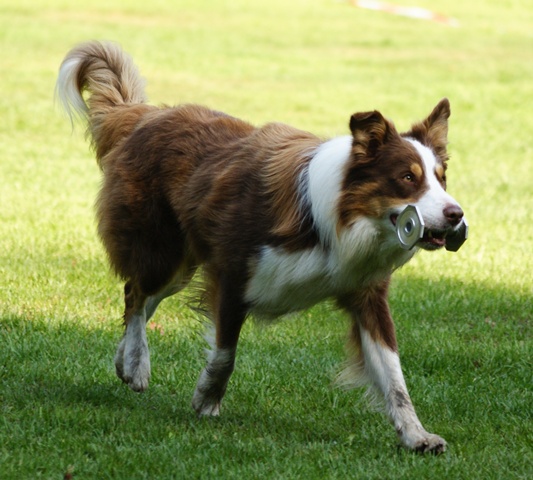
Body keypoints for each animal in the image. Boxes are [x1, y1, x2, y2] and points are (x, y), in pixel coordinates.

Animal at [55, 41, 462, 454]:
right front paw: (207, 398)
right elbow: (225, 354)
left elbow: (394, 377)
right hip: (162, 251)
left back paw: (125, 360)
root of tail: (145, 115)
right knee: (137, 294)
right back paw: (137, 364)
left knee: (138, 296)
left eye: (441, 179)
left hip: (181, 263)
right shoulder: (232, 274)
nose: (456, 214)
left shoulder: (366, 294)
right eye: (407, 178)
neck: (338, 216)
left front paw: (416, 435)